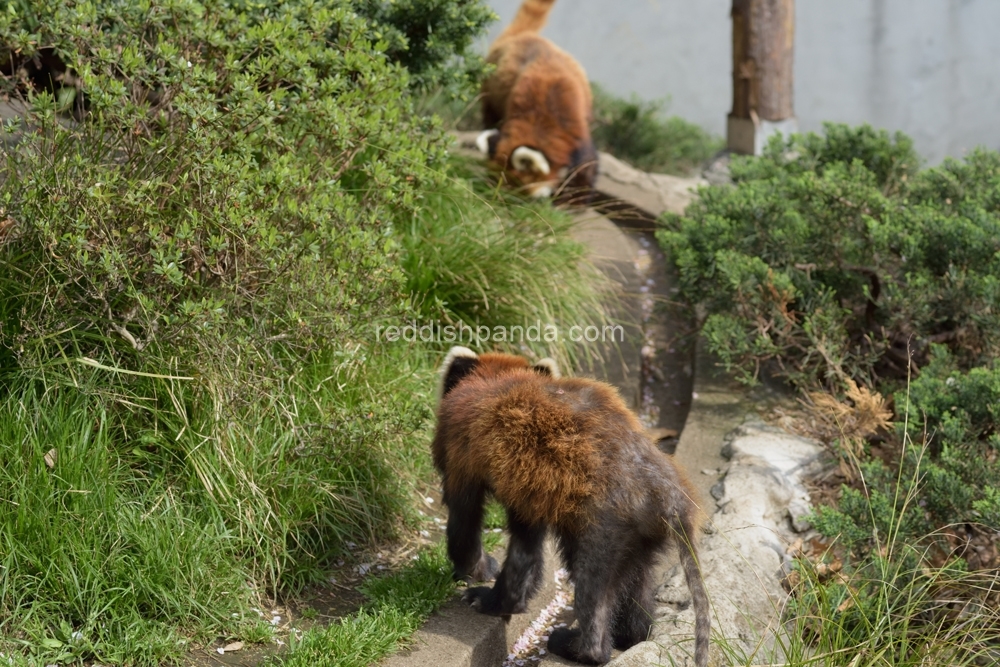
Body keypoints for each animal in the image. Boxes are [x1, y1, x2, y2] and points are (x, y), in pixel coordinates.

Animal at [434, 348, 708, 664]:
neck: (498, 377)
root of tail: (667, 487)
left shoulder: (460, 448)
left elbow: (463, 520)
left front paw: (475, 573)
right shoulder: (528, 488)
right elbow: (525, 552)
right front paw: (501, 597)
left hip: (606, 524)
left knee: (592, 586)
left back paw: (580, 647)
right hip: (643, 532)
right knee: (637, 578)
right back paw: (633, 633)